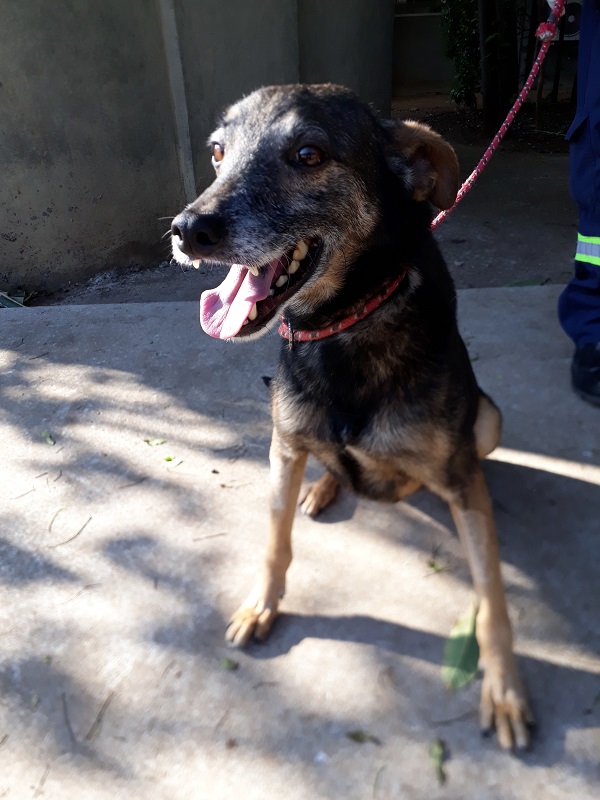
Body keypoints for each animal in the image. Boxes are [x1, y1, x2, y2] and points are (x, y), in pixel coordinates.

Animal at [171, 86, 532, 752]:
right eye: (217, 152)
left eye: (308, 155)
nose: (188, 231)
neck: (343, 326)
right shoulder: (283, 447)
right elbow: (274, 542)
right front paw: (261, 605)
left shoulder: (461, 475)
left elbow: (492, 595)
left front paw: (505, 690)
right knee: (333, 464)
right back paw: (325, 486)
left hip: (488, 419)